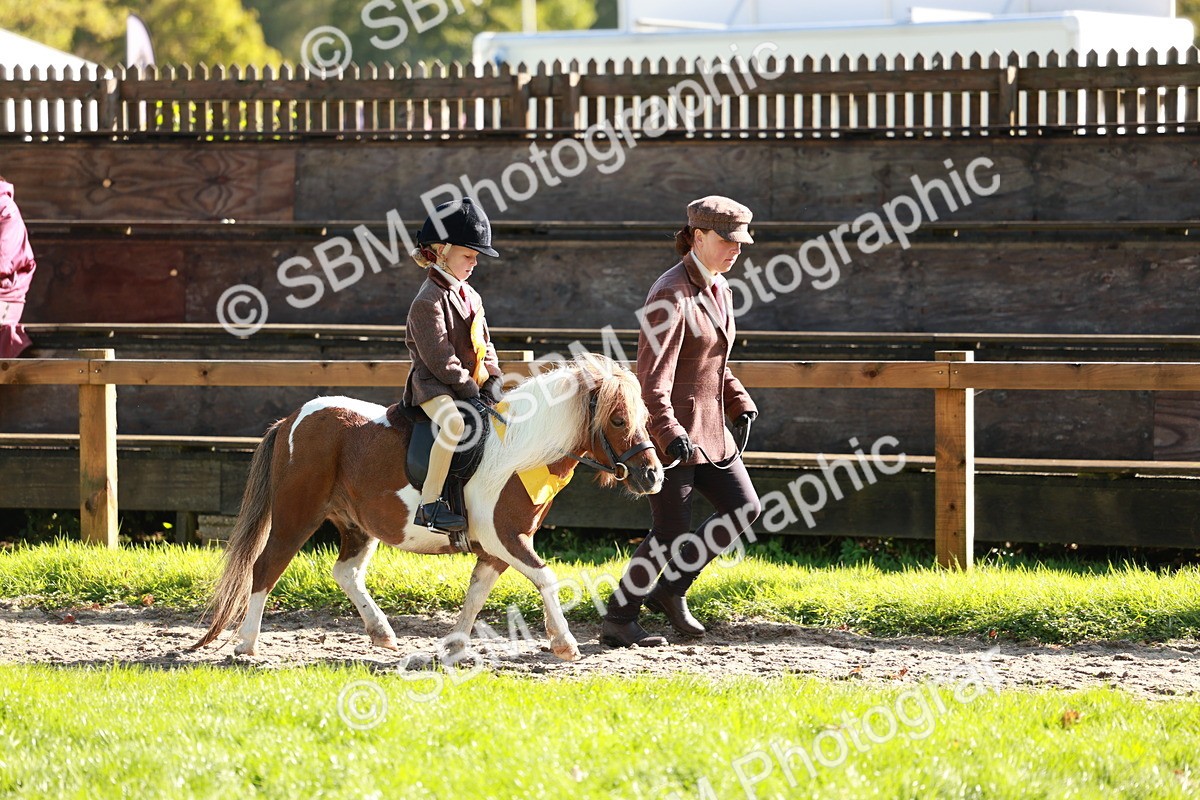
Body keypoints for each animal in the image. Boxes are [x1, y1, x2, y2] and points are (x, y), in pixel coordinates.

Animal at [192, 353, 663, 662]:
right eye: (618, 420)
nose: (653, 476)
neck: (519, 450)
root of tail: (292, 419)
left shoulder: (498, 549)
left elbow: (476, 593)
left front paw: (453, 647)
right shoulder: (506, 538)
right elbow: (546, 578)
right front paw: (564, 643)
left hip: (356, 523)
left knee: (345, 572)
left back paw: (381, 633)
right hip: (296, 515)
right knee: (266, 567)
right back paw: (246, 644)